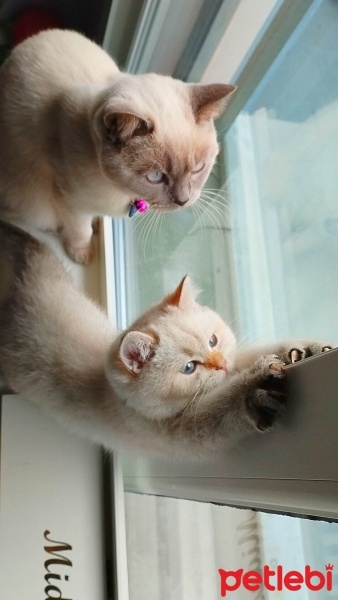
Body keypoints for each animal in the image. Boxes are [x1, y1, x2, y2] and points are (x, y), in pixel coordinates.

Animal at [0, 29, 235, 264]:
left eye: (198, 168)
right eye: (155, 177)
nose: (183, 200)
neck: (120, 190)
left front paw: (95, 225)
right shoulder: (69, 201)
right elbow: (81, 230)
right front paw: (82, 253)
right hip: (33, 200)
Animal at [0, 221, 330, 460]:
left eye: (213, 341)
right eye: (189, 368)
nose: (221, 365)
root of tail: (28, 291)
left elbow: (257, 352)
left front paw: (305, 349)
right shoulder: (181, 431)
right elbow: (222, 409)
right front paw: (256, 389)